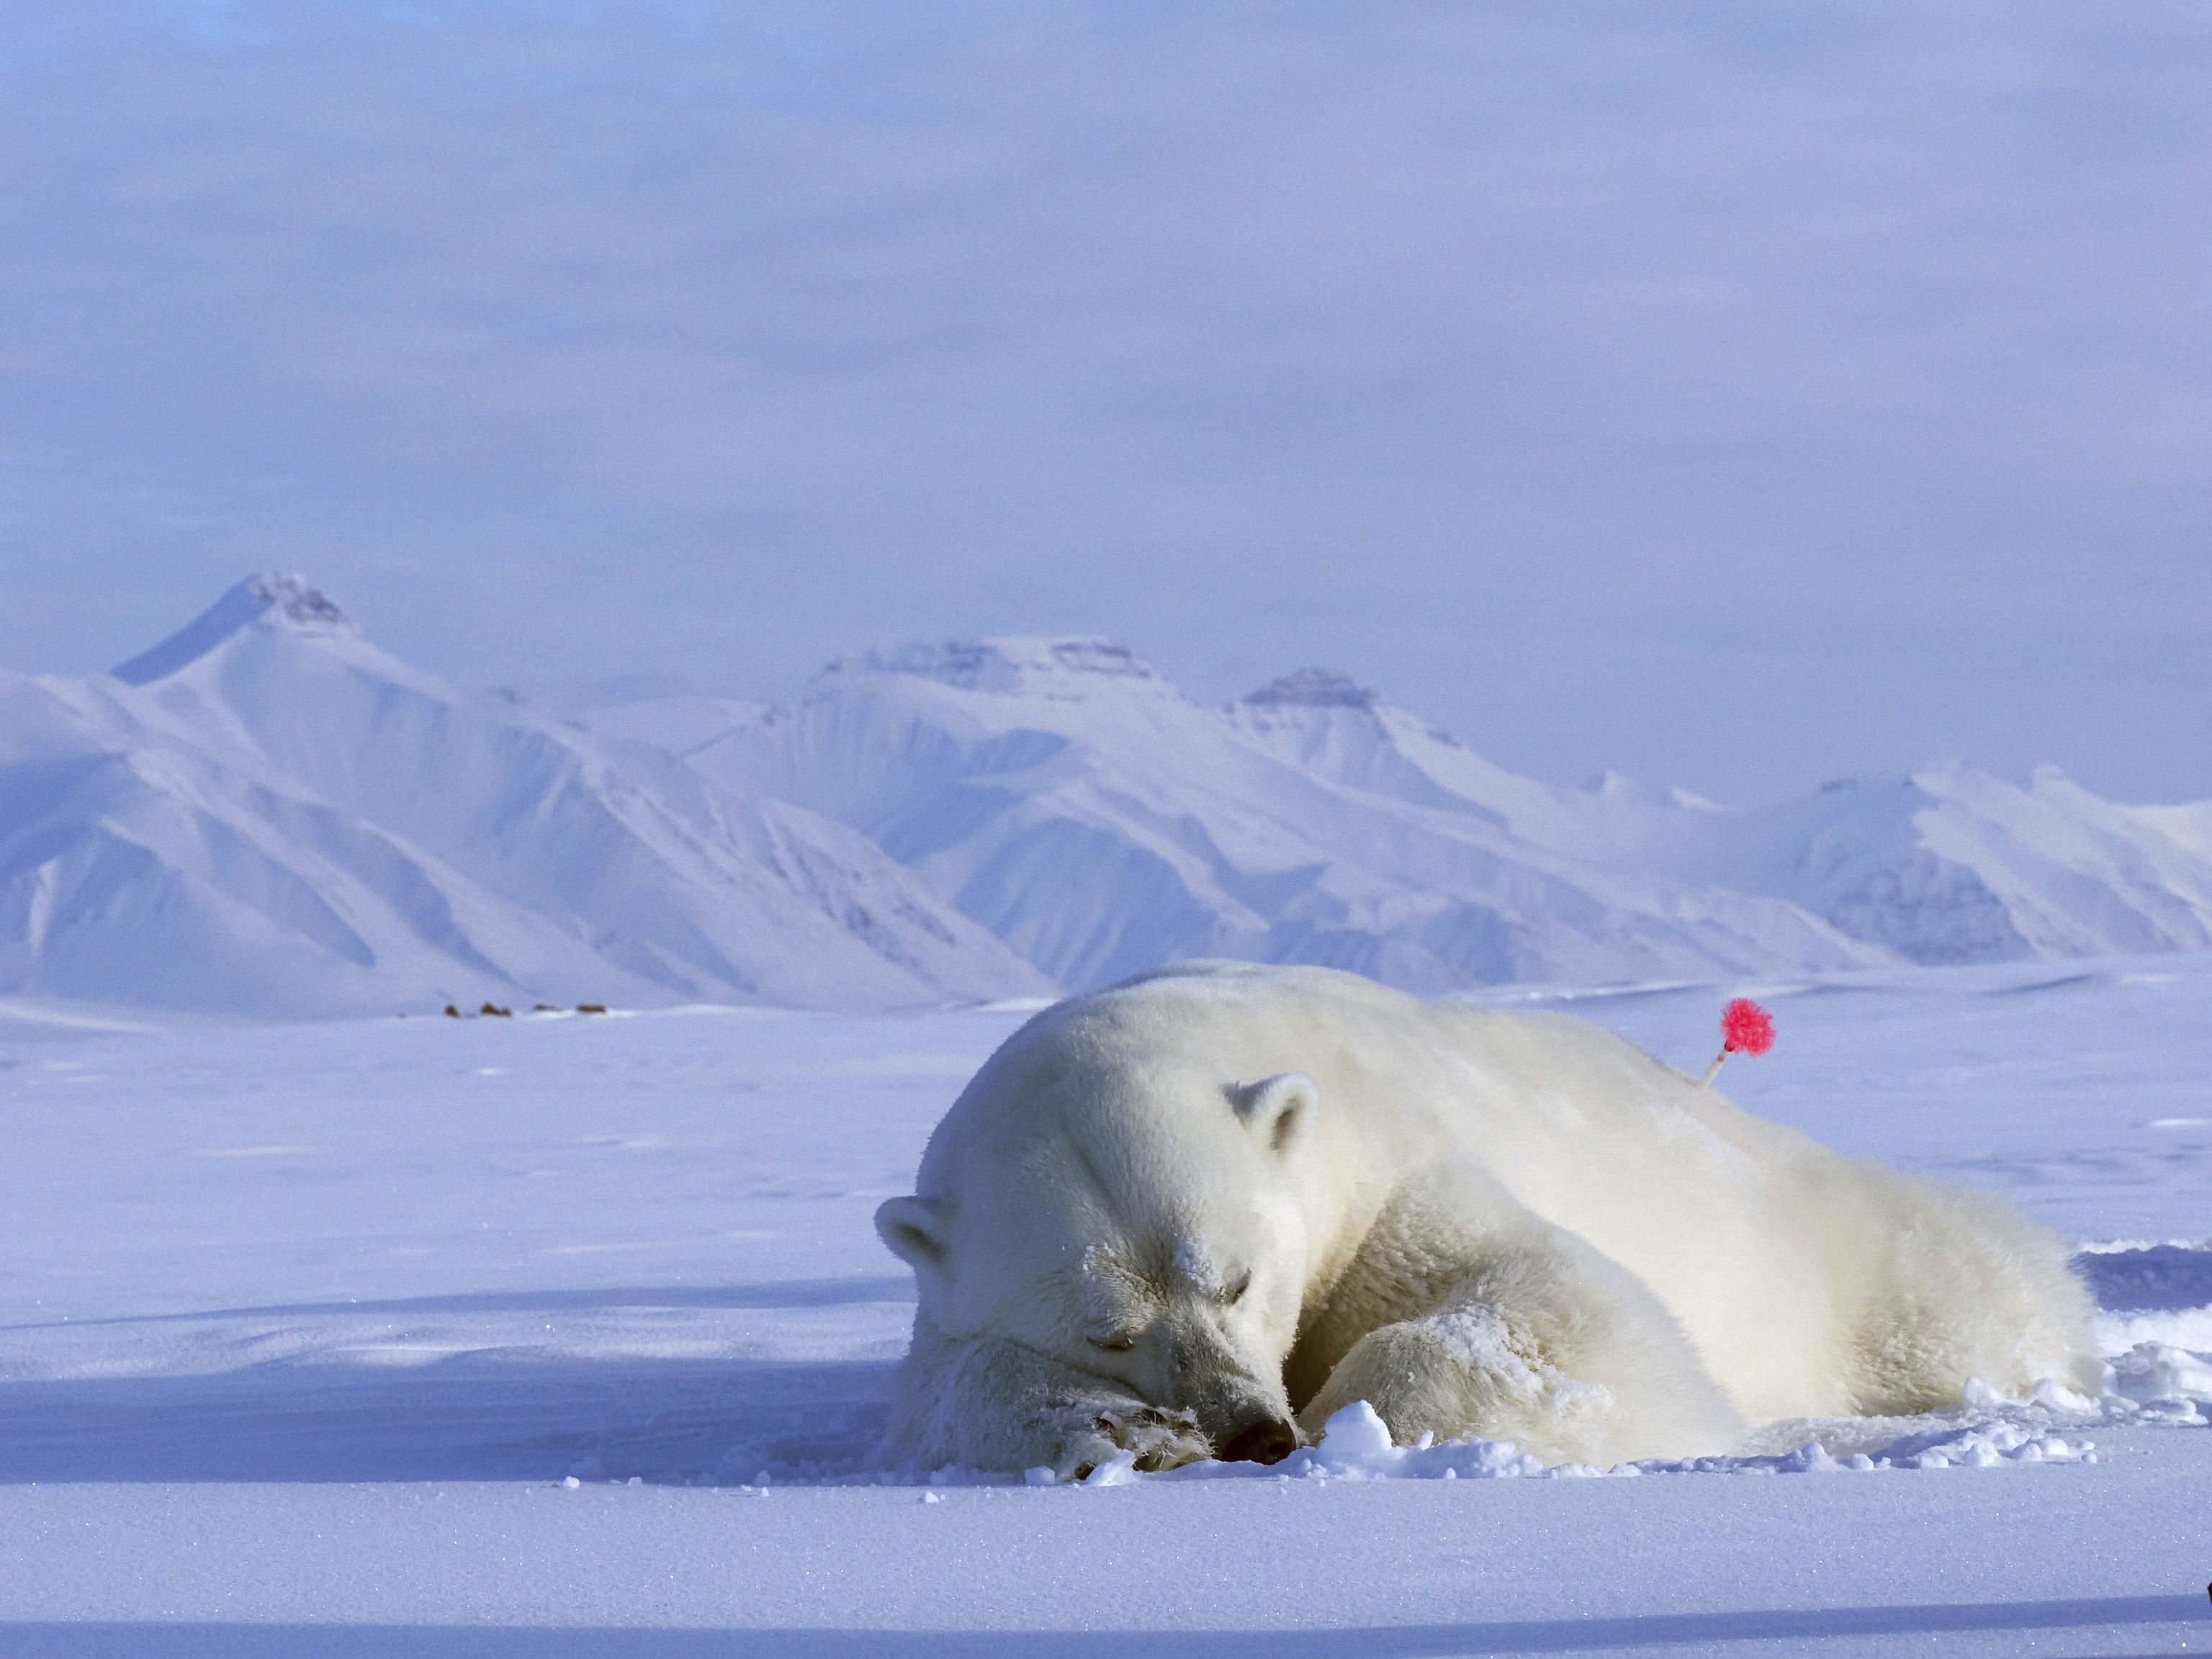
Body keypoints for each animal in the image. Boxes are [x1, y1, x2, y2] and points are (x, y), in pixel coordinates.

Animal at [874, 961, 2098, 1477]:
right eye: (1108, 1331)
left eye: (1238, 1278)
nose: (1253, 1431)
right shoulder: (946, 1292)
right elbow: (946, 1386)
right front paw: (1122, 1431)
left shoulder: (1393, 1169)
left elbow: (1552, 1308)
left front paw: (1350, 1419)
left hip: (1838, 1245)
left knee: (1957, 1288)